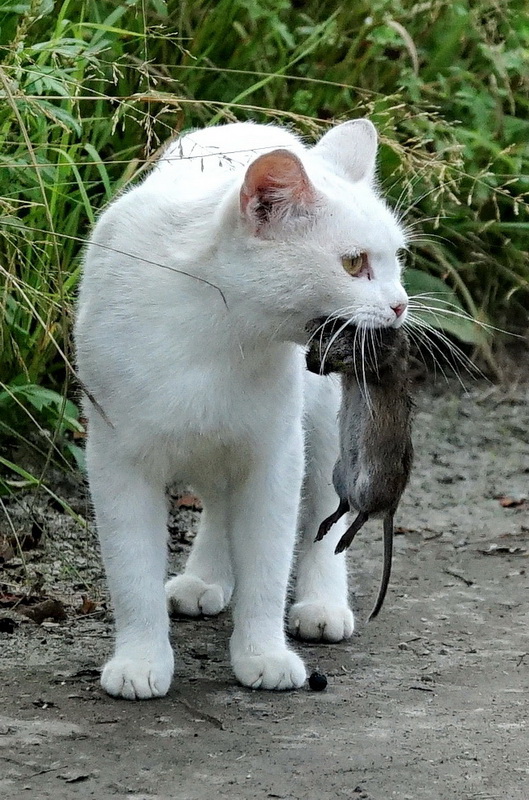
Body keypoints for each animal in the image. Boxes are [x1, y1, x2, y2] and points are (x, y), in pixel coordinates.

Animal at [74, 119, 406, 700]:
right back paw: (206, 577)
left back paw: (321, 604)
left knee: (325, 509)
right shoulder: (117, 458)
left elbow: (268, 564)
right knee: (219, 500)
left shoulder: (274, 454)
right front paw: (140, 660)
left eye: (397, 258)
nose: (401, 305)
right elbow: (132, 571)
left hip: (323, 429)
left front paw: (262, 653)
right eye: (353, 263)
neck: (218, 332)